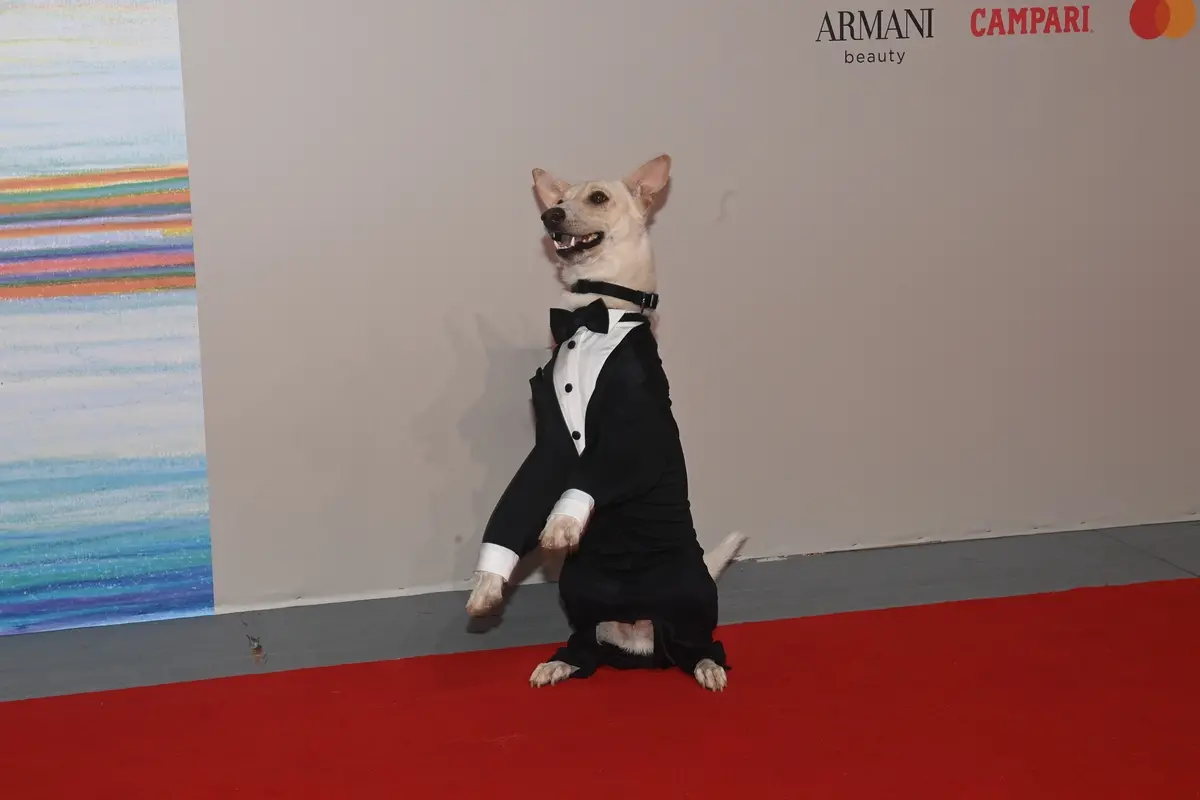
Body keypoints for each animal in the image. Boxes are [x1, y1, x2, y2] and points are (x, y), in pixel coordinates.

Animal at [463, 155, 744, 695]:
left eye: (597, 198)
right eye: (558, 199)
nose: (550, 216)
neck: (597, 316)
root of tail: (638, 634)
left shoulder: (633, 441)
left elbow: (590, 479)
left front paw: (562, 523)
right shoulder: (548, 449)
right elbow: (515, 509)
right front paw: (489, 582)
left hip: (692, 589)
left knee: (697, 643)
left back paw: (706, 664)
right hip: (578, 592)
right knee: (588, 644)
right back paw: (562, 662)